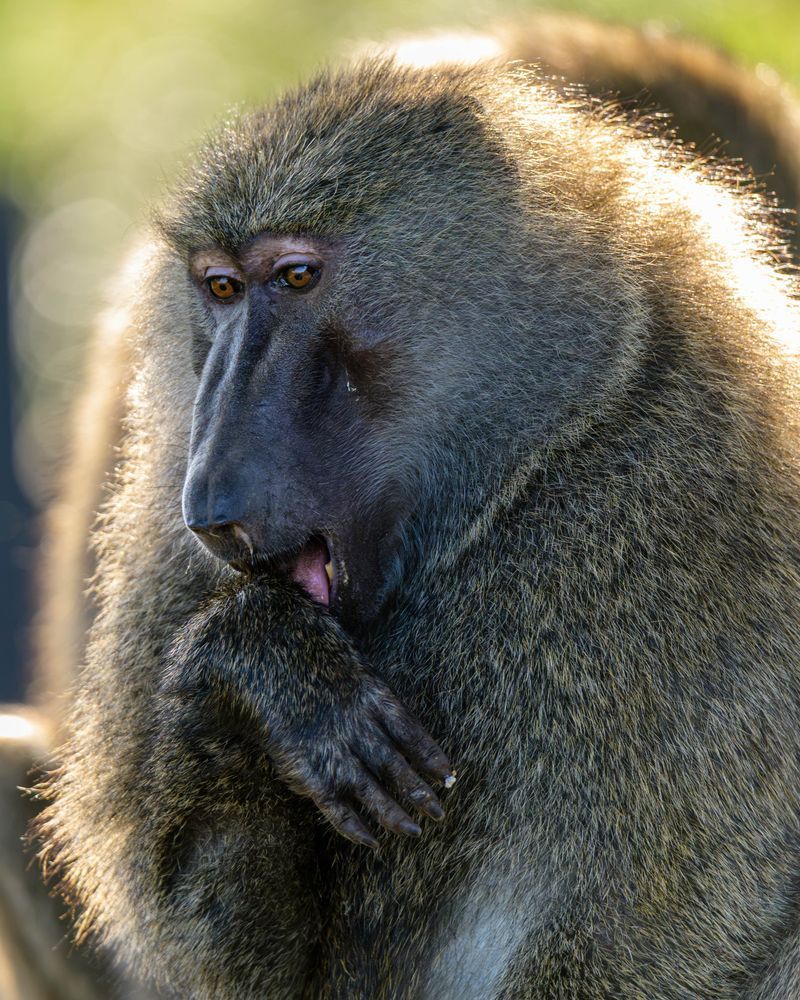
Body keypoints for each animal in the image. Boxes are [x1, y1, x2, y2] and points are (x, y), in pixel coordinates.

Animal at [27, 50, 800, 1000]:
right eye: (220, 288)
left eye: (297, 277)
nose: (209, 509)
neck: (513, 482)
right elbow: (254, 970)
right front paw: (268, 674)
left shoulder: (700, 495)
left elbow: (669, 917)